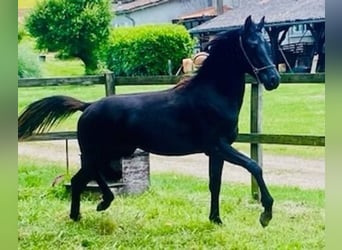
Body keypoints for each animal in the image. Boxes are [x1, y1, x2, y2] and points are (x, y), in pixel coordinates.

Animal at [18, 15, 280, 227]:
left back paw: (87, 211)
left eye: (268, 43)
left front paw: (216, 220)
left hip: (112, 152)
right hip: (100, 153)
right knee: (81, 178)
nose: (273, 80)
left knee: (85, 177)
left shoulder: (215, 152)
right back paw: (92, 208)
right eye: (252, 44)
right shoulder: (219, 146)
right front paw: (266, 214)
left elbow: (214, 183)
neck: (212, 95)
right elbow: (254, 166)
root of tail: (88, 106)